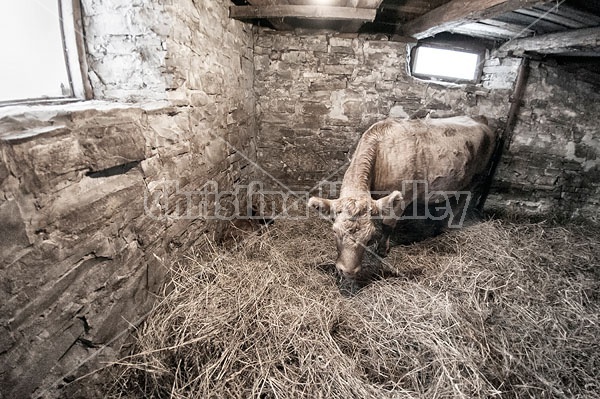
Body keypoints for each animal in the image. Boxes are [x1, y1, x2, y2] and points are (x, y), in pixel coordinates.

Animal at [308, 115, 494, 278]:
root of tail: (481, 119)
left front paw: (382, 250)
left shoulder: (402, 199)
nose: (347, 271)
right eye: (334, 231)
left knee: (464, 200)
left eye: (369, 237)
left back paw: (448, 226)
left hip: (476, 178)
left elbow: (388, 225)